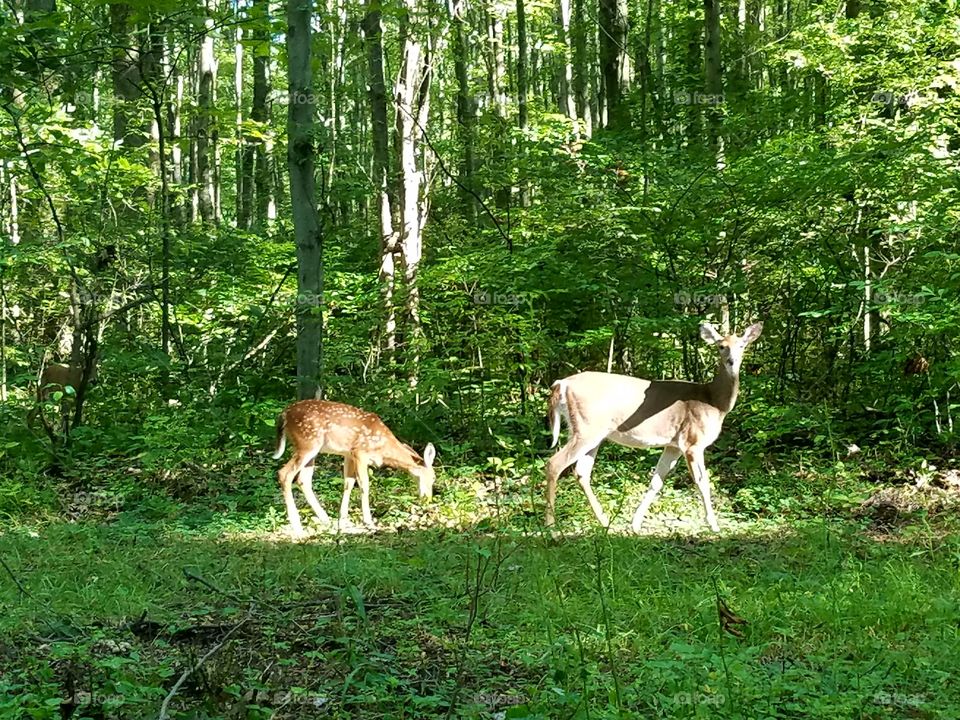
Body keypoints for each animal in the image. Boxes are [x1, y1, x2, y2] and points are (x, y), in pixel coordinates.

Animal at [272, 399, 437, 536]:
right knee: (284, 474)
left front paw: (343, 520)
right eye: (433, 477)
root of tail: (284, 414)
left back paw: (325, 519)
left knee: (303, 480)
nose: (428, 499)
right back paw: (298, 527)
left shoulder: (348, 454)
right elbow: (364, 484)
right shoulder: (360, 452)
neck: (384, 448)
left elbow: (348, 483)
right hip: (307, 443)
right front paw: (369, 522)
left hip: (311, 450)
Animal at [545, 322, 762, 533]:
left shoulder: (673, 445)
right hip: (587, 428)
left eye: (742, 345)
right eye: (721, 346)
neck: (715, 402)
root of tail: (561, 384)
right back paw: (551, 528)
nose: (732, 361)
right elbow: (703, 481)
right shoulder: (692, 441)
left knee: (582, 471)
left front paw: (635, 524)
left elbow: (657, 480)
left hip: (592, 433)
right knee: (554, 463)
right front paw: (714, 526)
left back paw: (605, 522)